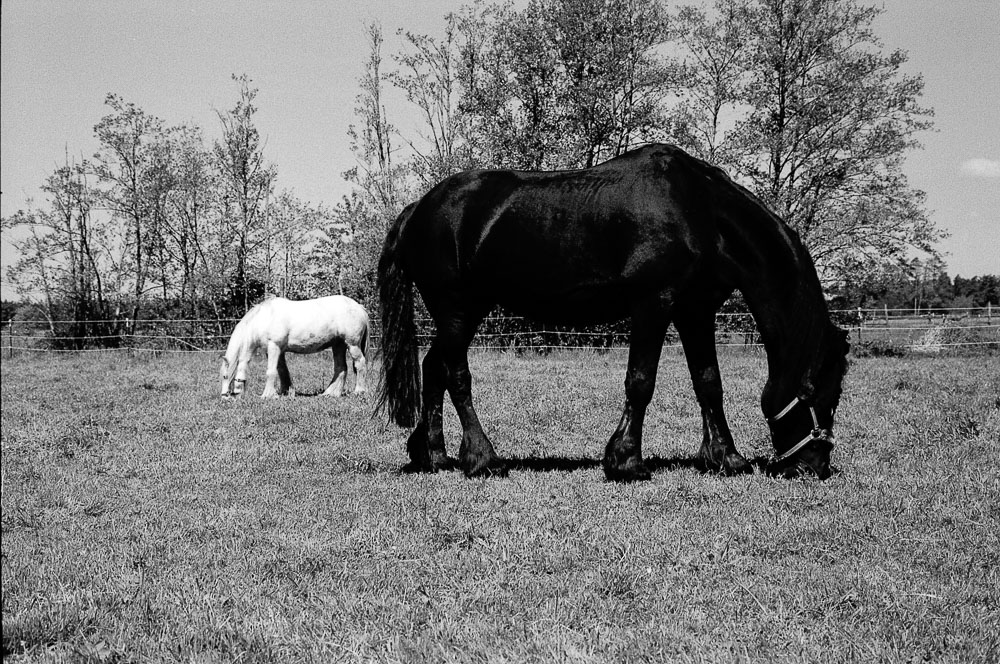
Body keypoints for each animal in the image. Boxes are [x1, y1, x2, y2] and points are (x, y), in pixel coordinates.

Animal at [221, 296, 370, 400]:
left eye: (224, 376)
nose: (224, 397)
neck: (265, 318)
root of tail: (359, 307)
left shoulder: (274, 347)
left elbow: (271, 372)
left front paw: (268, 395)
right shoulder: (276, 351)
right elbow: (282, 371)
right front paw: (286, 392)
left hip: (352, 345)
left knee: (360, 364)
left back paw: (359, 391)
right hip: (338, 345)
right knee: (340, 368)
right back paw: (330, 393)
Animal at [378, 143, 848, 480]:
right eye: (827, 396)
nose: (814, 467)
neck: (701, 209)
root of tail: (417, 209)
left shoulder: (696, 311)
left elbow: (708, 383)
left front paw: (725, 457)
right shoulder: (654, 303)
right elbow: (641, 381)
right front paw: (626, 461)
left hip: (466, 312)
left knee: (433, 368)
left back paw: (433, 455)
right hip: (456, 309)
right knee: (457, 376)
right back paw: (483, 459)